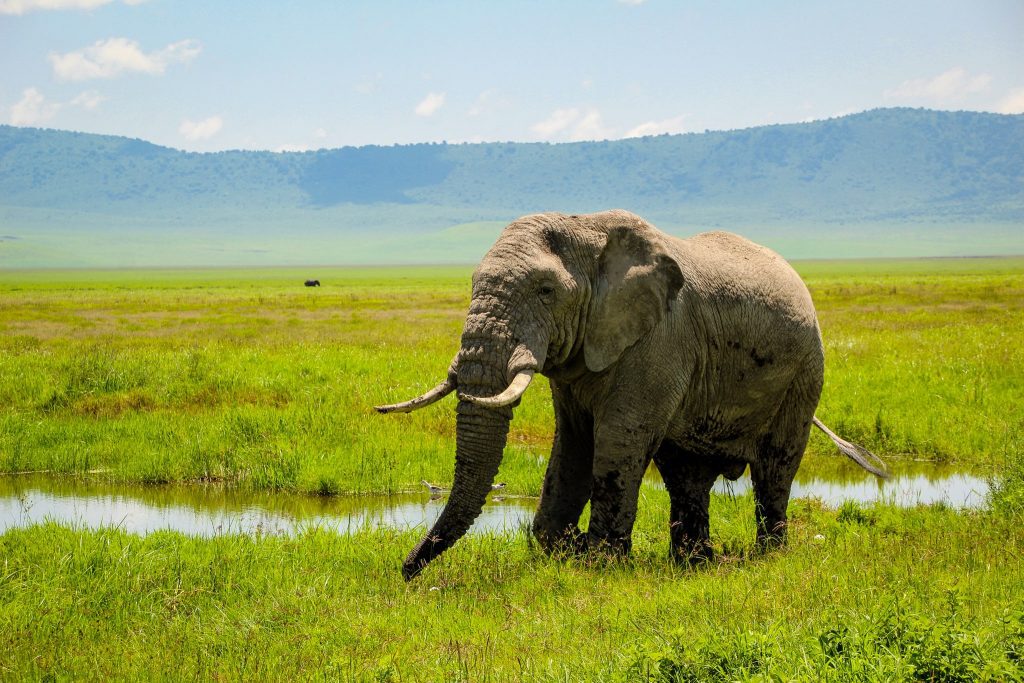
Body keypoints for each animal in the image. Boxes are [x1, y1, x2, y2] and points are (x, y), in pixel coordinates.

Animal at [378, 210, 888, 581]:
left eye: (546, 291)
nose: (405, 573)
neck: (586, 228)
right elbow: (574, 444)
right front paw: (557, 554)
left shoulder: (661, 340)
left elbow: (617, 440)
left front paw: (597, 564)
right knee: (686, 473)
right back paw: (696, 563)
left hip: (805, 371)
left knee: (775, 468)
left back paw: (767, 556)